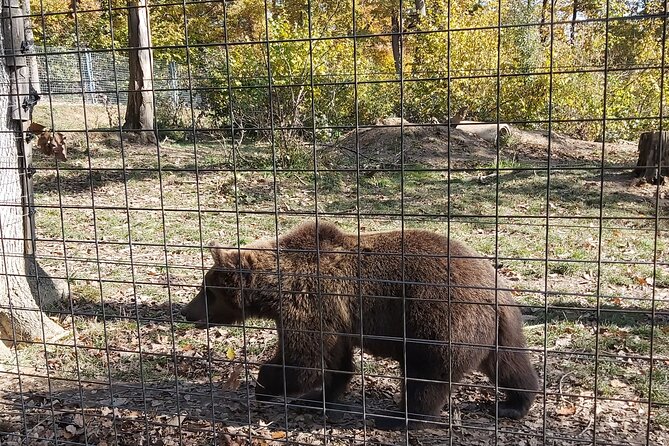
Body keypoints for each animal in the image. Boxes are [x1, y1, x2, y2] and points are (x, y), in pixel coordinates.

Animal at [180, 221, 539, 429]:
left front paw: (264, 386)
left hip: (438, 317)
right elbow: (334, 362)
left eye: (207, 290)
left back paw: (396, 417)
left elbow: (305, 360)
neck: (273, 289)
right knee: (510, 364)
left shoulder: (310, 303)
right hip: (500, 327)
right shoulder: (336, 318)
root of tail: (494, 287)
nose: (187, 312)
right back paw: (513, 405)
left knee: (427, 372)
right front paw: (317, 397)